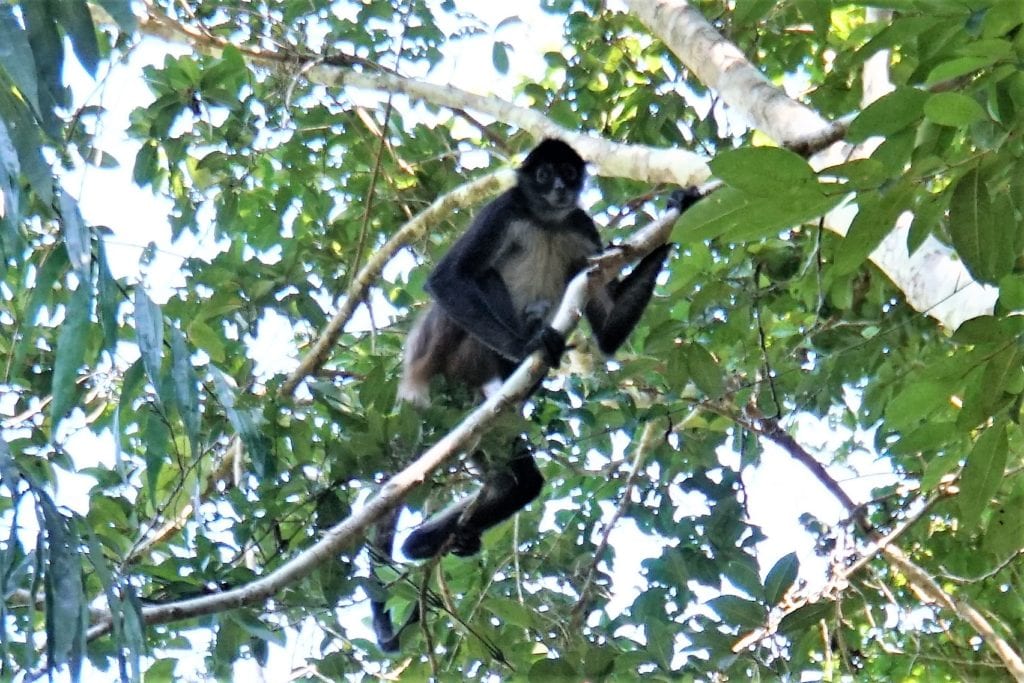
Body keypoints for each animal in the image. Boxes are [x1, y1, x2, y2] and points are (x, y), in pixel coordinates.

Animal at [372, 139, 700, 651]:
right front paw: (528, 346)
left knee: (516, 481)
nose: (561, 187)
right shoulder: (503, 208)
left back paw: (424, 542)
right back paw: (524, 351)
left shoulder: (581, 224)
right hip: (448, 352)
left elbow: (607, 329)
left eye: (567, 172)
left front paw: (680, 207)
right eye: (544, 175)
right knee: (481, 278)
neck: (546, 219)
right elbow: (444, 279)